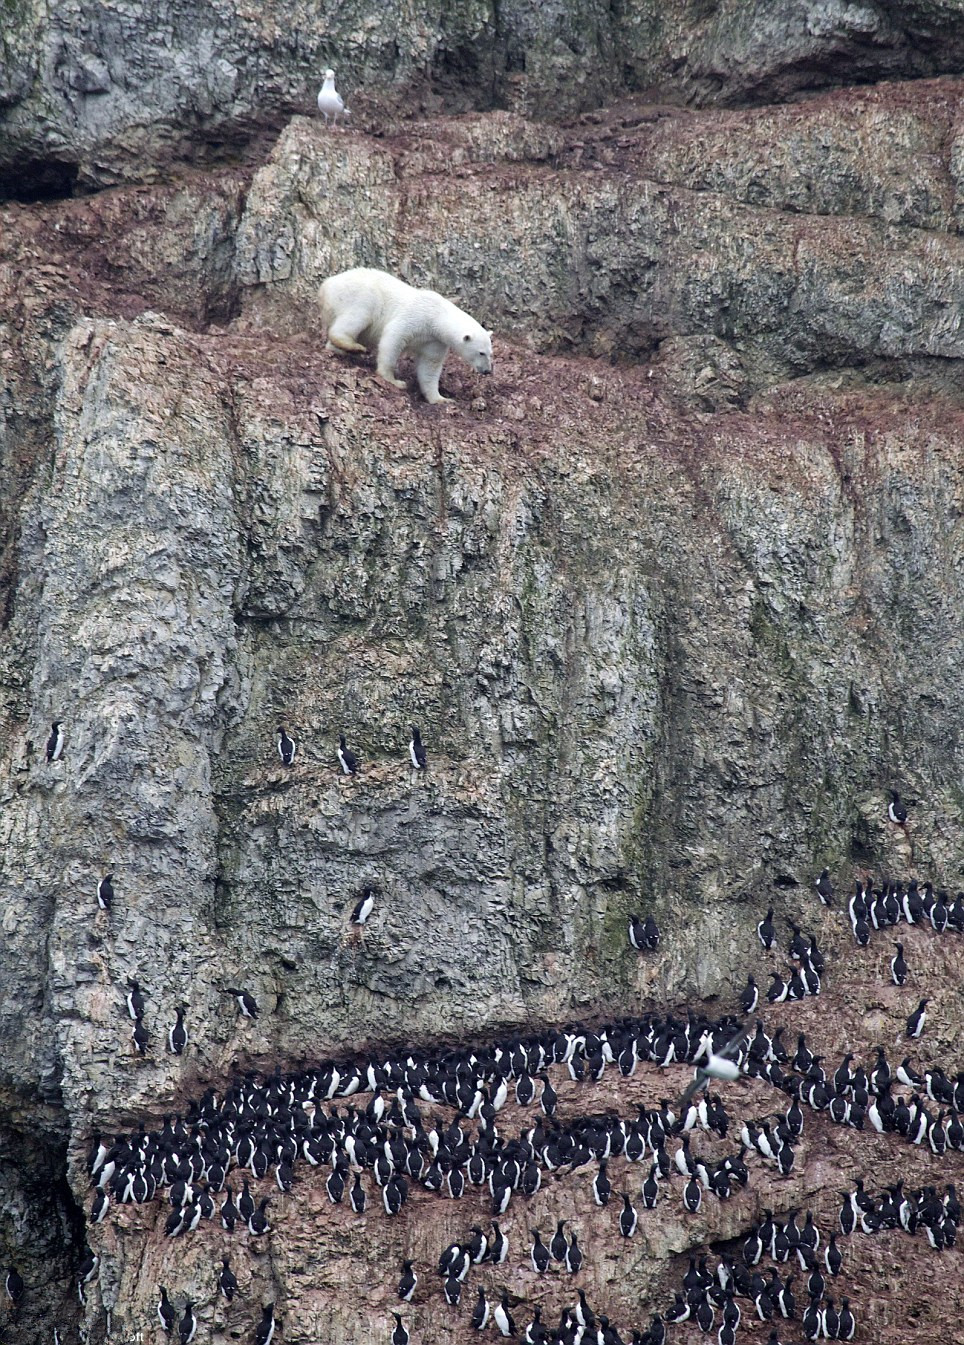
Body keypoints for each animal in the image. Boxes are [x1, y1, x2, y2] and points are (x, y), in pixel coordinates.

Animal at [321, 264, 492, 400]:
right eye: (481, 352)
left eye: (490, 353)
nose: (487, 371)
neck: (436, 316)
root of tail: (327, 284)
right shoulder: (416, 316)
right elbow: (394, 337)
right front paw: (395, 380)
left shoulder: (435, 340)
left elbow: (430, 365)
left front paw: (441, 399)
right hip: (360, 295)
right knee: (359, 315)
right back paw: (354, 346)